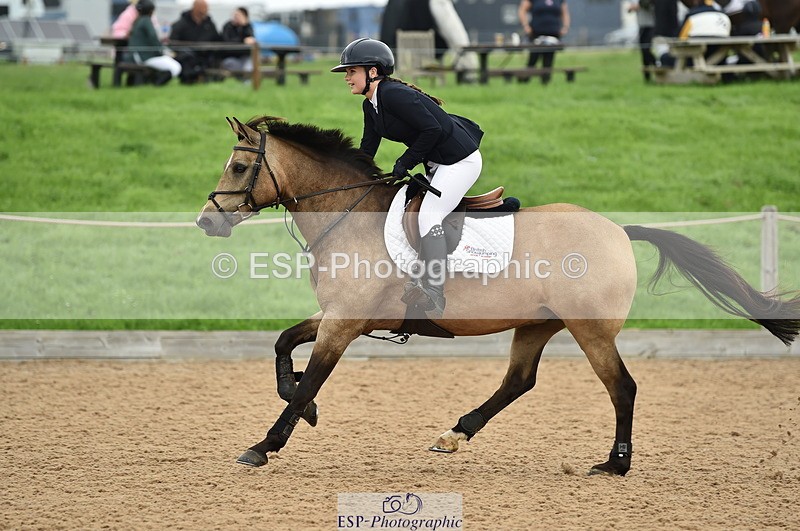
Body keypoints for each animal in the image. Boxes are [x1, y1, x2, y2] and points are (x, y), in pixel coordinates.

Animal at [196, 116, 800, 476]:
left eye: (241, 166)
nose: (206, 221)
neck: (347, 214)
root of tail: (617, 230)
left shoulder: (344, 322)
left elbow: (310, 378)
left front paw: (266, 444)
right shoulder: (340, 315)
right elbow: (283, 346)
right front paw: (305, 409)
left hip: (591, 329)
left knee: (621, 387)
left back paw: (615, 464)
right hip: (536, 323)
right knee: (519, 381)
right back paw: (455, 434)